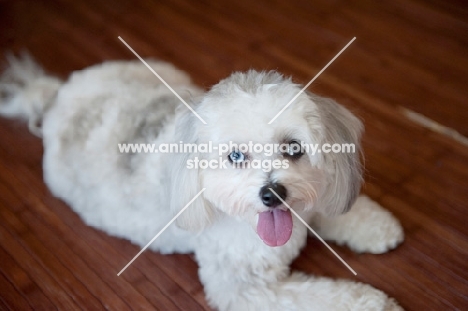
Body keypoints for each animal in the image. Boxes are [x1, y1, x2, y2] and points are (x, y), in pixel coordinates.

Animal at [0, 56, 404, 311]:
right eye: (235, 156)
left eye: (293, 147)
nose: (273, 193)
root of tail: (57, 95)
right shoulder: (245, 289)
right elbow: (320, 297)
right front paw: (375, 302)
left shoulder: (312, 200)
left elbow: (333, 210)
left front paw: (376, 226)